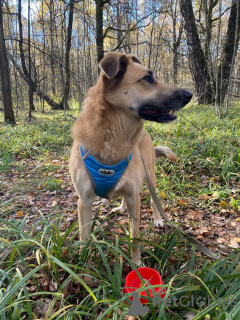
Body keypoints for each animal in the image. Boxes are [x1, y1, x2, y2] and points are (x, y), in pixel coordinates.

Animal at [68, 52, 192, 264]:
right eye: (148, 78)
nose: (189, 95)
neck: (113, 139)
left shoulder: (135, 199)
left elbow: (135, 236)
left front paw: (136, 262)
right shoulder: (84, 201)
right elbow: (84, 235)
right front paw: (84, 262)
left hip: (150, 177)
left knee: (153, 201)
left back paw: (158, 219)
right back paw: (120, 208)